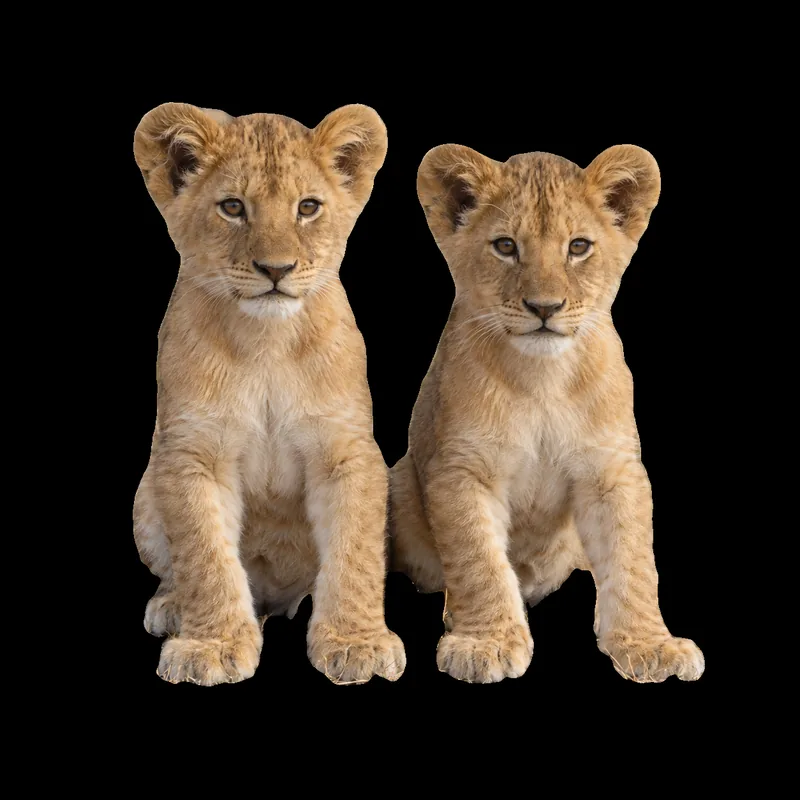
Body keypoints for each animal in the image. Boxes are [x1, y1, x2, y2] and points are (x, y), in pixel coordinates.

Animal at [132, 102, 405, 686]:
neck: (267, 343)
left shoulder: (347, 450)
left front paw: (357, 643)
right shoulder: (191, 452)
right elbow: (205, 556)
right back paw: (172, 607)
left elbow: (354, 552)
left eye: (308, 207)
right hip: (145, 492)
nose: (276, 270)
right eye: (233, 207)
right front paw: (210, 646)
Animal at [389, 143, 705, 684]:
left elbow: (633, 560)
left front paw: (649, 645)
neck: (543, 381)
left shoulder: (612, 469)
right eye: (505, 246)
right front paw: (486, 643)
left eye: (578, 246)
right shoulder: (461, 470)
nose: (544, 307)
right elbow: (478, 559)